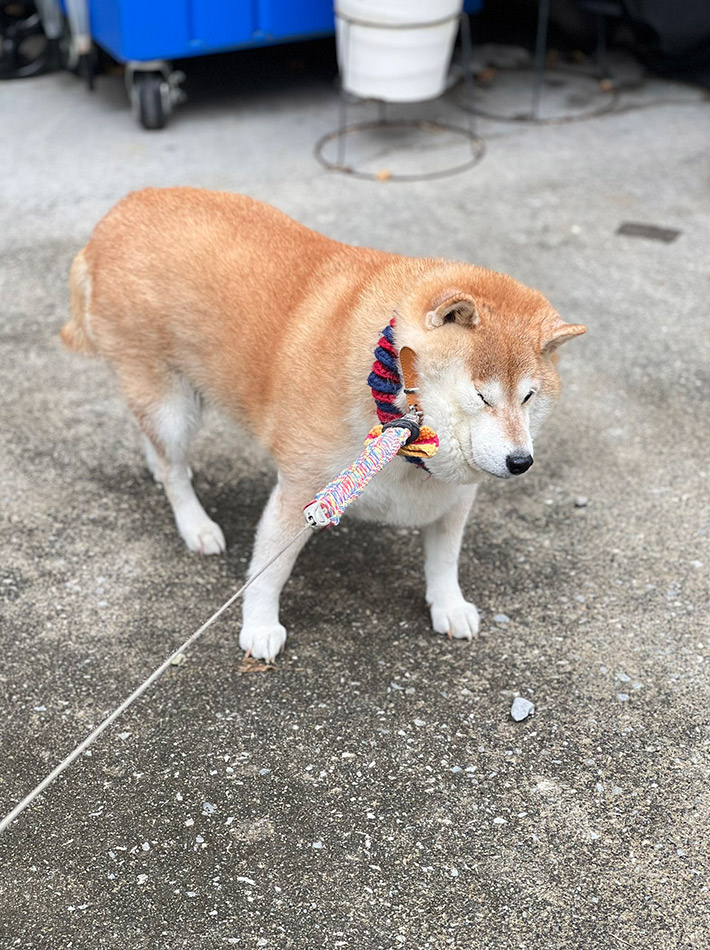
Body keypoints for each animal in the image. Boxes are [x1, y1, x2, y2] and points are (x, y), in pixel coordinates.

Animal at [61, 187, 588, 660]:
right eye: (482, 396)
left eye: (529, 397)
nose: (520, 461)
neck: (395, 425)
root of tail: (115, 215)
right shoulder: (304, 491)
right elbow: (270, 570)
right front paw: (259, 625)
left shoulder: (453, 496)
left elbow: (444, 559)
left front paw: (449, 605)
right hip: (171, 404)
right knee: (173, 468)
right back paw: (195, 523)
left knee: (153, 440)